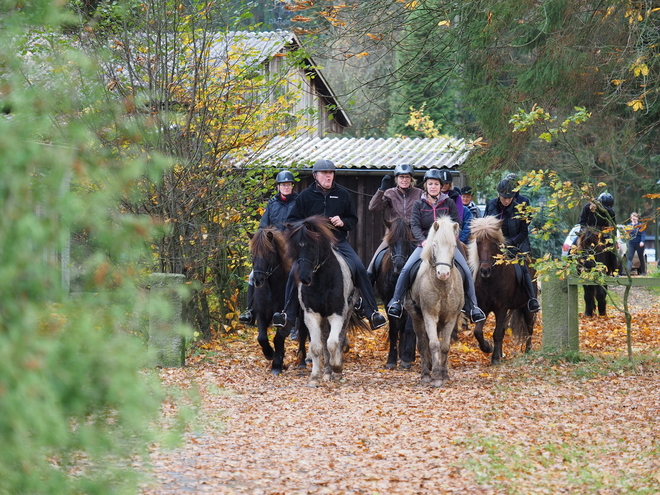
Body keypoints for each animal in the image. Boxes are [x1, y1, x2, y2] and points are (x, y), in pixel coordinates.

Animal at [284, 216, 366, 388]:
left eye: (312, 245)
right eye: (295, 247)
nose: (304, 278)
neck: (321, 280)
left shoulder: (337, 314)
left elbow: (333, 343)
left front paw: (338, 367)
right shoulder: (312, 315)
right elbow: (317, 347)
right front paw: (315, 377)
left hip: (347, 311)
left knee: (338, 338)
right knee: (324, 339)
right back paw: (327, 372)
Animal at [374, 219, 416, 370]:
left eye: (407, 240)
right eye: (391, 242)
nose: (399, 265)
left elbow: (409, 328)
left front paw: (407, 358)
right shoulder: (388, 302)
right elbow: (393, 329)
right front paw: (391, 360)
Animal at [402, 219, 464, 390]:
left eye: (453, 245)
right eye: (434, 245)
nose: (443, 273)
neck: (442, 286)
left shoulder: (451, 317)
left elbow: (445, 346)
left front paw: (443, 374)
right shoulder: (429, 315)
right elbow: (433, 344)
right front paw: (436, 377)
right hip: (416, 317)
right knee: (423, 343)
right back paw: (425, 373)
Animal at [470, 219, 536, 366]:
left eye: (493, 243)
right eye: (478, 242)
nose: (485, 271)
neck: (490, 281)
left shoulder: (501, 309)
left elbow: (497, 333)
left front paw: (494, 358)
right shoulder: (483, 308)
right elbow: (478, 332)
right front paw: (488, 348)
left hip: (526, 307)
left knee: (529, 328)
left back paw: (528, 351)